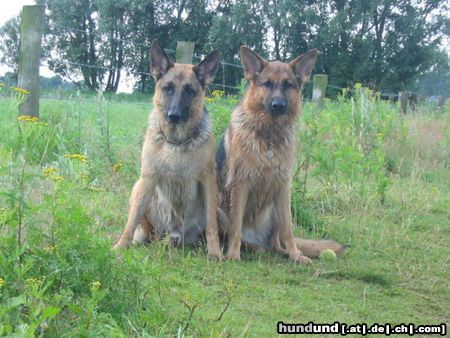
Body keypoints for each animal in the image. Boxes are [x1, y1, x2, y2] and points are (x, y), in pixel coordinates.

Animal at [113, 39, 222, 258]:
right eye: (168, 88)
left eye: (189, 90)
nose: (173, 116)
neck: (176, 142)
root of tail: (174, 235)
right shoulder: (148, 178)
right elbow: (131, 221)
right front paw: (120, 246)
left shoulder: (208, 180)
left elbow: (212, 226)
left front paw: (215, 252)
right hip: (138, 188)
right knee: (142, 226)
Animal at [217, 46, 344, 262]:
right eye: (267, 84)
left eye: (288, 85)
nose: (278, 105)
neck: (269, 137)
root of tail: (257, 240)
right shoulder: (241, 185)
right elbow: (236, 227)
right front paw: (233, 255)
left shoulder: (283, 186)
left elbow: (289, 228)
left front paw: (295, 254)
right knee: (239, 236)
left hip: (275, 208)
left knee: (275, 244)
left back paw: (286, 252)